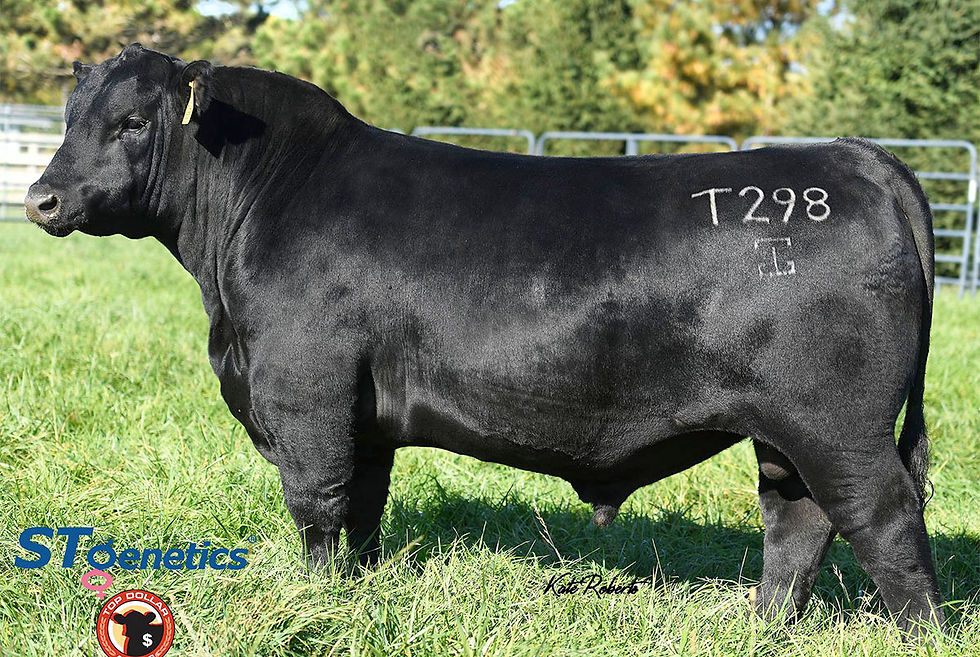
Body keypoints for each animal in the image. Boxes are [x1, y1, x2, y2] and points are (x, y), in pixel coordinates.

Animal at [25, 45, 942, 633]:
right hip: (785, 431)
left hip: (837, 423)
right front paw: (356, 592)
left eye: (133, 122)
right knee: (797, 520)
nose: (40, 198)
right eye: (70, 119)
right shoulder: (361, 414)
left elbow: (317, 505)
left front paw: (317, 601)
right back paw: (765, 627)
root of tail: (853, 159)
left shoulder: (304, 389)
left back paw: (917, 634)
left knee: (885, 520)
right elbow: (363, 508)